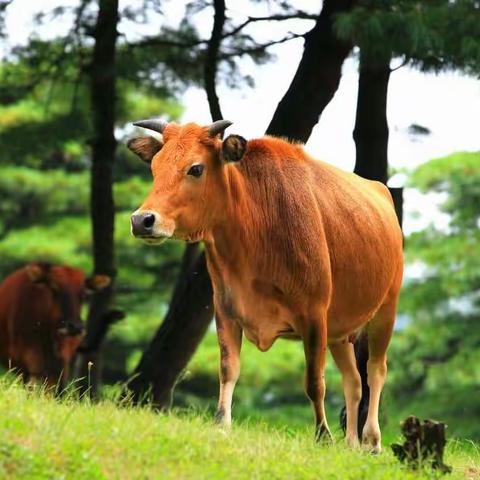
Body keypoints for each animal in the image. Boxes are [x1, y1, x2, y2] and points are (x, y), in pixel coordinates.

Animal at [126, 118, 402, 452]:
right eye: (155, 167)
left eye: (196, 168)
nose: (142, 220)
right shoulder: (225, 308)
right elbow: (228, 368)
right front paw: (221, 423)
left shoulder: (314, 314)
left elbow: (315, 381)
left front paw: (322, 434)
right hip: (341, 330)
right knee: (354, 381)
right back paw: (350, 443)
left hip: (385, 311)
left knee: (376, 371)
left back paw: (372, 440)